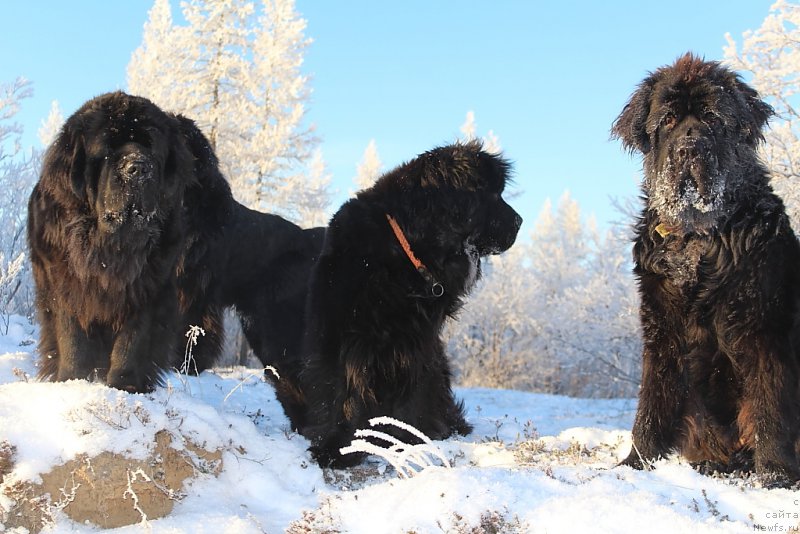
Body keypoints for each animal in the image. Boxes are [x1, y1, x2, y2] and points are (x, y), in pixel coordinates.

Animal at [28, 91, 195, 394]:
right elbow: (71, 334)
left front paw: (125, 384)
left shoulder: (147, 288)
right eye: (107, 149)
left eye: (152, 148)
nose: (138, 168)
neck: (109, 244)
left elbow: (132, 340)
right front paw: (71, 379)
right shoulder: (63, 282)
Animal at [296, 142, 520, 468]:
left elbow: (414, 394)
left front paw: (408, 441)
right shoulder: (341, 334)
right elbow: (342, 392)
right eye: (492, 195)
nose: (519, 222)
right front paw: (336, 448)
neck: (405, 252)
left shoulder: (417, 342)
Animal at [612, 53, 800, 486]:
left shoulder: (763, 327)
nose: (689, 148)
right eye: (667, 119)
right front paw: (634, 464)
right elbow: (652, 404)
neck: (699, 237)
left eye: (713, 117)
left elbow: (770, 406)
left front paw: (776, 476)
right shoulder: (662, 328)